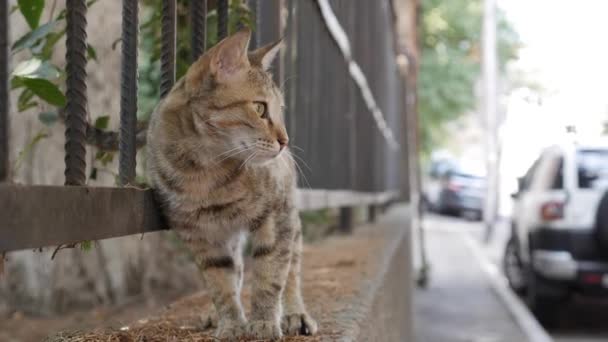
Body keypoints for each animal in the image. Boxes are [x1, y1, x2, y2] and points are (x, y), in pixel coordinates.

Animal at [147, 29, 316, 340]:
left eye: (280, 110)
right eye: (260, 108)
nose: (285, 141)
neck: (204, 173)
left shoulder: (276, 219)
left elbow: (270, 275)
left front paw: (264, 321)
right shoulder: (201, 235)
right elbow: (221, 284)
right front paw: (232, 323)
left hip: (289, 215)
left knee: (292, 268)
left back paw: (294, 313)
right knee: (236, 266)